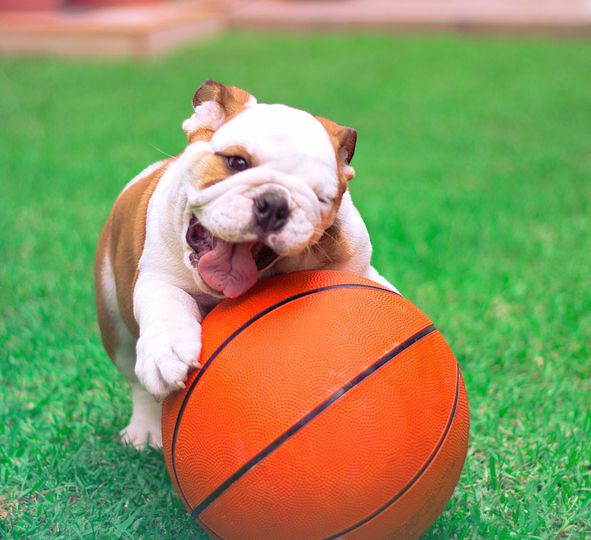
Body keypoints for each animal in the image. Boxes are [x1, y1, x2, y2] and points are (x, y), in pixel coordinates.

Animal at [95, 80, 398, 450]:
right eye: (236, 162)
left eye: (321, 197)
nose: (274, 203)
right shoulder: (157, 277)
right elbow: (168, 303)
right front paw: (166, 350)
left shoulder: (361, 269)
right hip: (112, 316)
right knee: (136, 382)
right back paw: (144, 430)